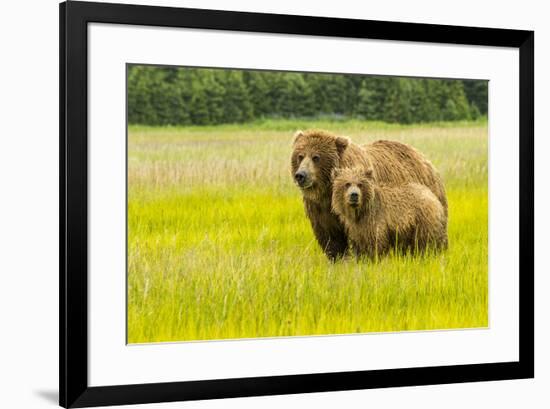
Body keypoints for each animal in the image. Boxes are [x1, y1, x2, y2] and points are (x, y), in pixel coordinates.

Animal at [294, 129, 448, 260]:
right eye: (300, 156)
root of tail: (421, 156)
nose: (301, 175)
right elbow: (331, 238)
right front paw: (337, 259)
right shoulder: (320, 210)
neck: (327, 193)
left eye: (316, 157)